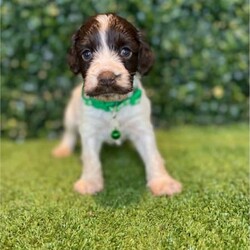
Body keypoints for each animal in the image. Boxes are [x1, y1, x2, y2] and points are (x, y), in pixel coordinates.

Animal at [52, 13, 182, 196]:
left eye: (125, 51)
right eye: (86, 54)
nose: (106, 78)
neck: (112, 104)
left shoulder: (142, 128)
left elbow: (152, 155)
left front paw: (162, 181)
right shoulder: (89, 130)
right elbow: (90, 158)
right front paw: (90, 181)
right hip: (70, 116)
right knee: (69, 133)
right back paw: (63, 149)